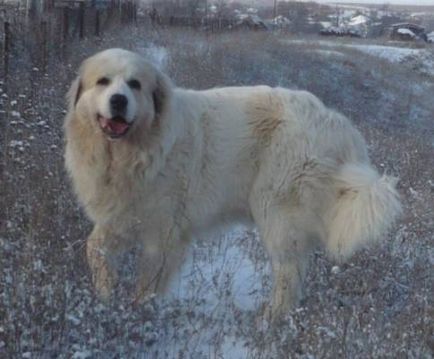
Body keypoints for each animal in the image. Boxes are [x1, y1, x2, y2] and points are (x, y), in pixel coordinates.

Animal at [62, 47, 402, 320]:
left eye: (135, 84)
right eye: (103, 82)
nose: (119, 100)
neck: (132, 152)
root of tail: (335, 121)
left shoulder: (164, 233)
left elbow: (148, 284)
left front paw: (136, 314)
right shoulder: (121, 215)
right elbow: (94, 248)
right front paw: (106, 291)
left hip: (276, 211)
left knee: (289, 273)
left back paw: (270, 319)